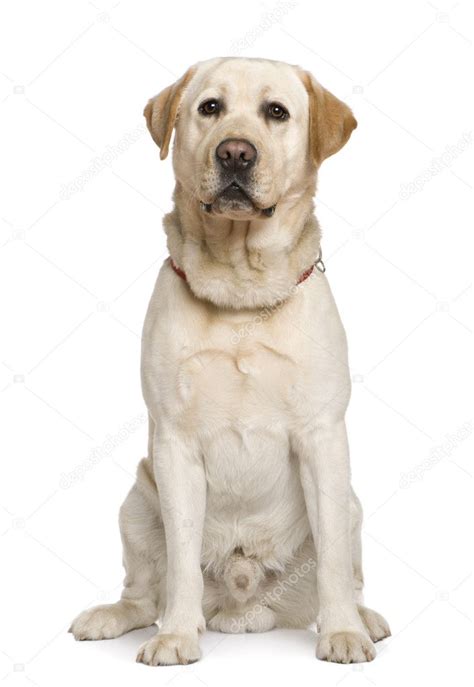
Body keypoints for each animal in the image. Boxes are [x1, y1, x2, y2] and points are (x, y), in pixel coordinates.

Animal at [69, 57, 388, 668]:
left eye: (277, 112)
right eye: (210, 108)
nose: (235, 153)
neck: (241, 290)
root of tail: (245, 605)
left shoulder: (322, 438)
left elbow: (335, 563)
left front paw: (341, 632)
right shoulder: (174, 445)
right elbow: (181, 562)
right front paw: (176, 636)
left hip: (353, 503)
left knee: (348, 571)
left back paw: (364, 618)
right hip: (136, 501)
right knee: (144, 592)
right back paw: (114, 617)